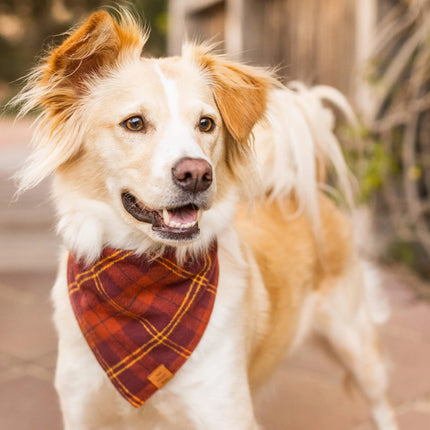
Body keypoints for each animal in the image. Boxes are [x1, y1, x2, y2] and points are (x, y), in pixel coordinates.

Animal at [15, 8, 400, 428]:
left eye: (206, 123)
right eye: (134, 123)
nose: (197, 174)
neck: (141, 279)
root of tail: (301, 190)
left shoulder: (223, 410)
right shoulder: (82, 409)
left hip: (356, 343)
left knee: (382, 404)